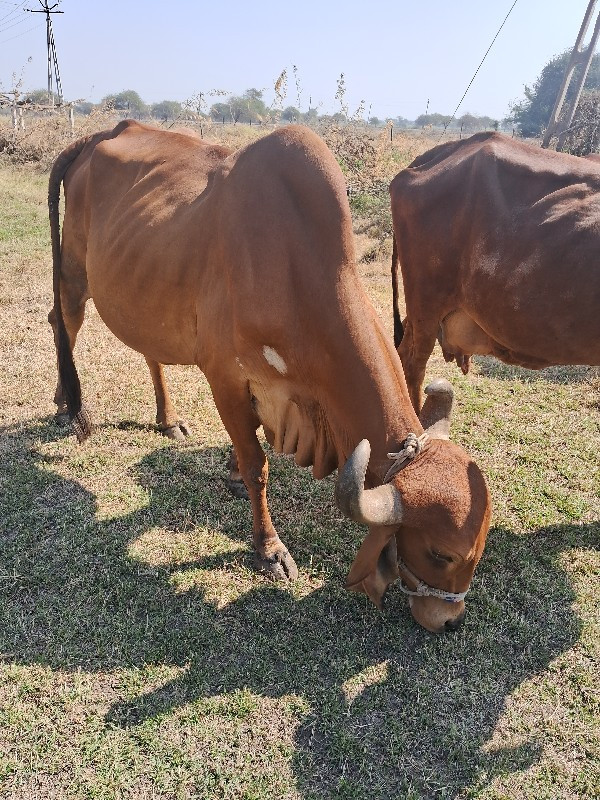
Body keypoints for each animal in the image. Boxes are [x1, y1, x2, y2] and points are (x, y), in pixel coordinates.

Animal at [48, 120, 492, 632]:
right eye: (441, 553)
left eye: (481, 548)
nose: (450, 620)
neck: (296, 271)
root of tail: (106, 131)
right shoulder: (225, 379)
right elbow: (257, 465)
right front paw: (269, 548)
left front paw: (231, 476)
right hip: (73, 269)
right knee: (63, 320)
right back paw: (67, 406)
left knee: (146, 349)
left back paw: (167, 418)